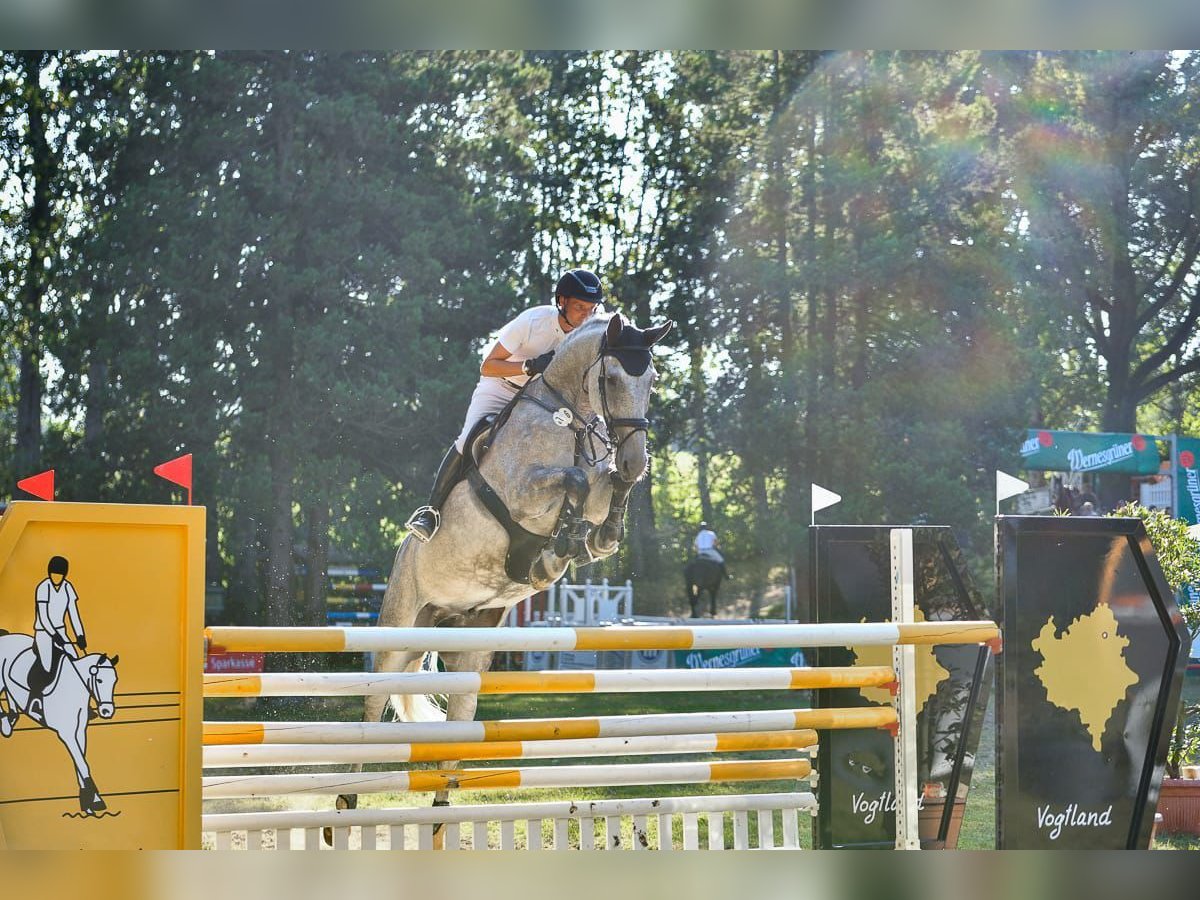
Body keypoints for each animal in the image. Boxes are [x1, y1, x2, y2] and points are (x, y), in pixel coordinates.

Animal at [338, 312, 672, 825]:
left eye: (651, 379)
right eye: (613, 379)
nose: (637, 458)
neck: (567, 419)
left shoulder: (597, 486)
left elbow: (606, 483)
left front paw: (597, 536)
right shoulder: (525, 493)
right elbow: (573, 480)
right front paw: (564, 542)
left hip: (468, 650)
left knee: (458, 717)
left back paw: (441, 813)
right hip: (398, 629)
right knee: (374, 703)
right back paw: (350, 799)